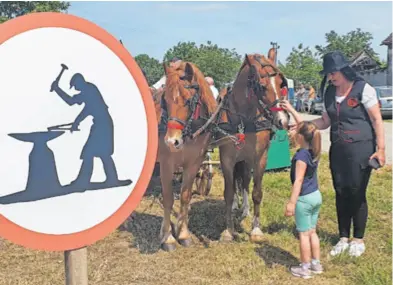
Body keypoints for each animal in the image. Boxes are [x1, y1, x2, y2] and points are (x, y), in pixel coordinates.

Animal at [157, 61, 217, 250]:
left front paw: (182, 233)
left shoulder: (193, 164)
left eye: (188, 100)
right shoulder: (166, 164)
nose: (171, 141)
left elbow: (185, 197)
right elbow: (168, 199)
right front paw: (167, 237)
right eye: (165, 100)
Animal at [213, 47, 290, 241]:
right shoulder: (226, 159)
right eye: (262, 86)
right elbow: (228, 192)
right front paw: (229, 229)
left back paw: (245, 209)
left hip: (246, 160)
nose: (283, 120)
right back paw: (235, 206)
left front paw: (256, 229)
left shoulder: (260, 158)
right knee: (236, 182)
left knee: (245, 181)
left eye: (281, 84)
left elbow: (256, 192)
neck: (244, 119)